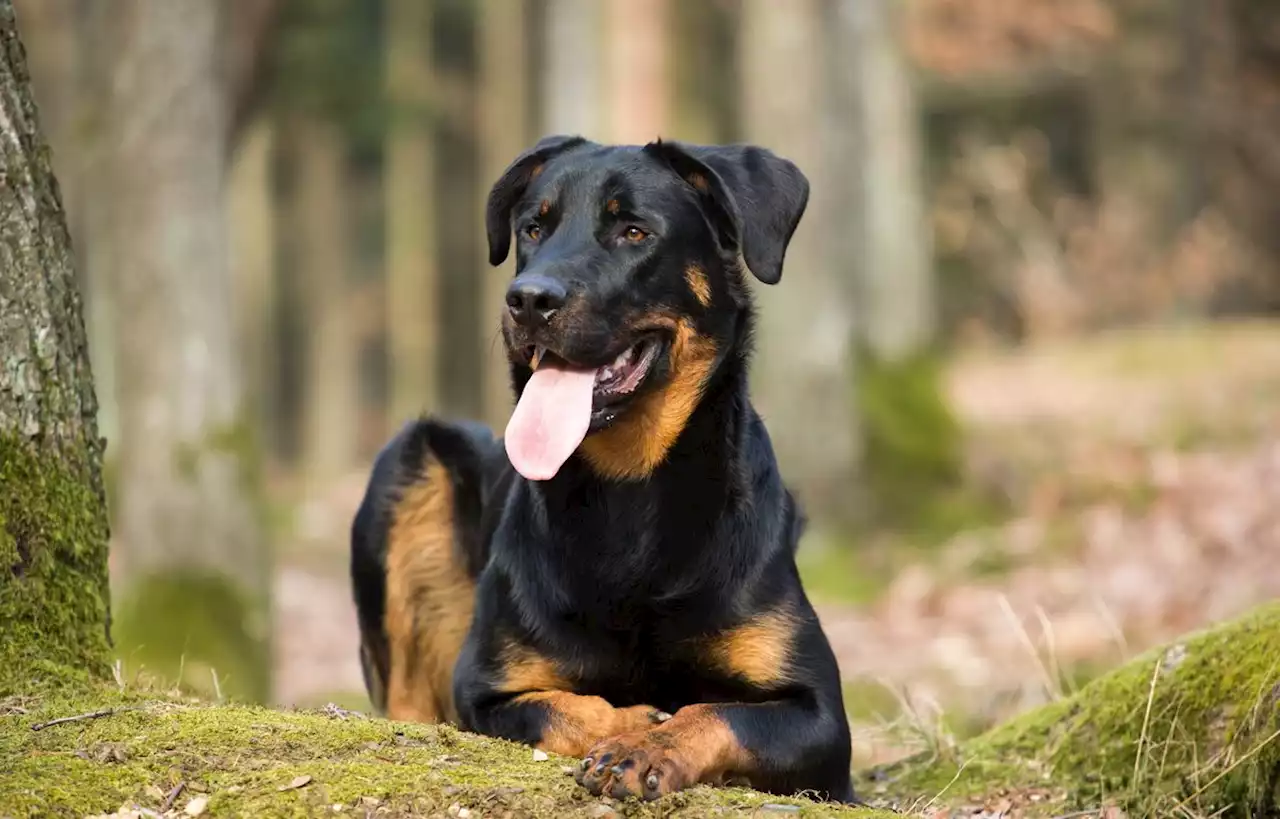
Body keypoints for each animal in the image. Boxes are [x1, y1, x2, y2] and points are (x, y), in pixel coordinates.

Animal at [345, 135, 855, 808]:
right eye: (533, 228)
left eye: (633, 231)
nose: (528, 300)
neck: (630, 492)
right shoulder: (485, 688)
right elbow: (562, 706)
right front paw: (631, 724)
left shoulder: (821, 719)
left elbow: (716, 712)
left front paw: (648, 747)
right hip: (409, 461)